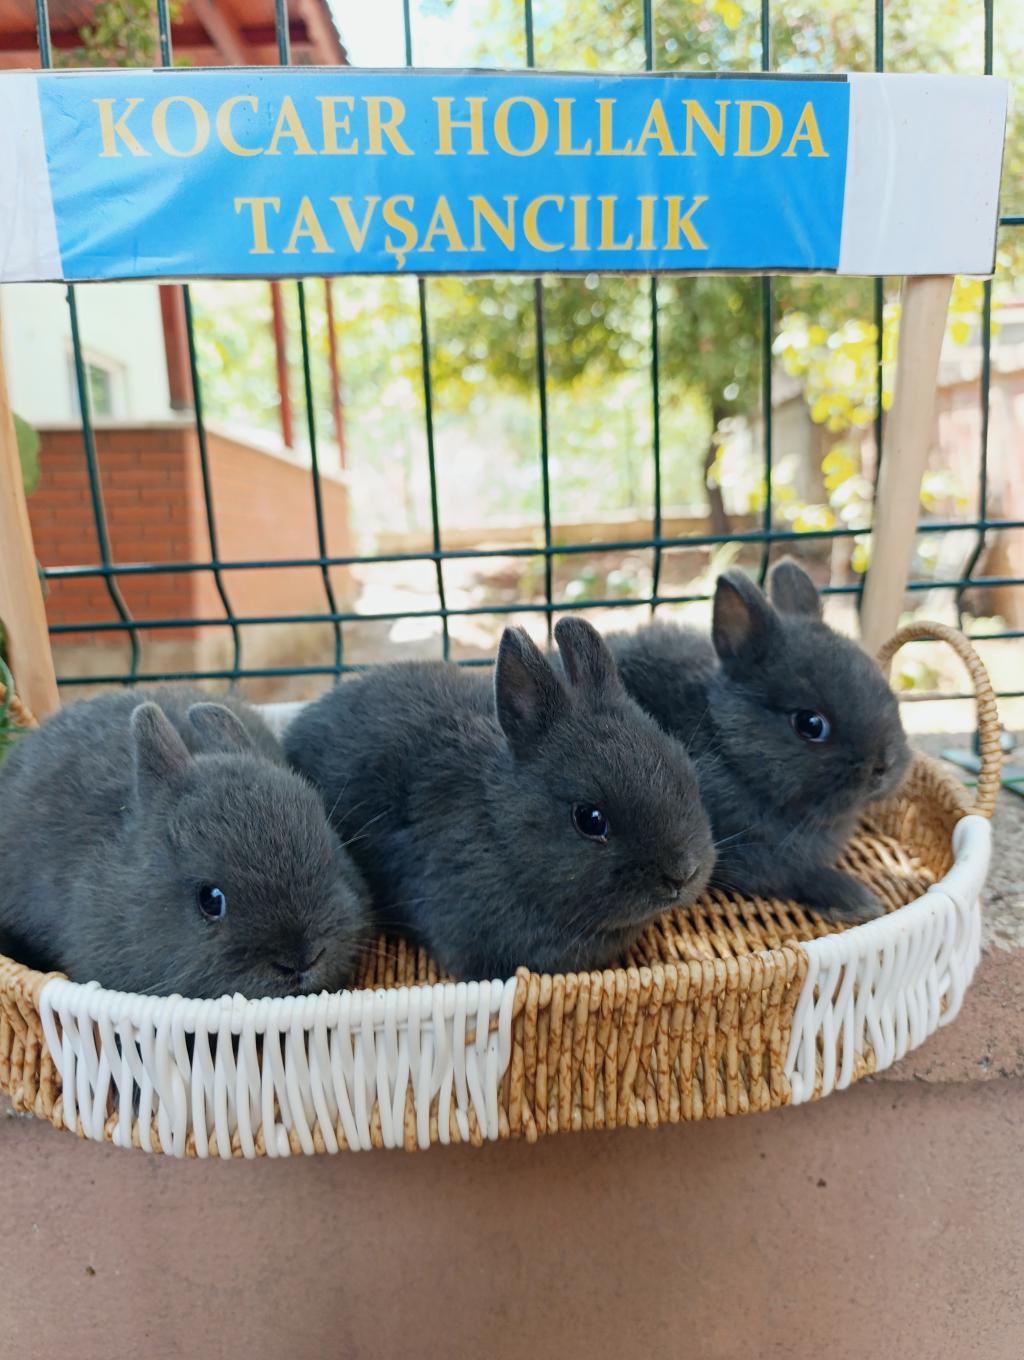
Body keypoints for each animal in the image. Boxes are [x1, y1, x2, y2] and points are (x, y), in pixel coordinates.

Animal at [607, 560, 911, 921]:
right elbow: (797, 875)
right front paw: (858, 900)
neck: (729, 749)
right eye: (810, 724)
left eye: (887, 692)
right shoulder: (740, 852)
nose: (884, 766)